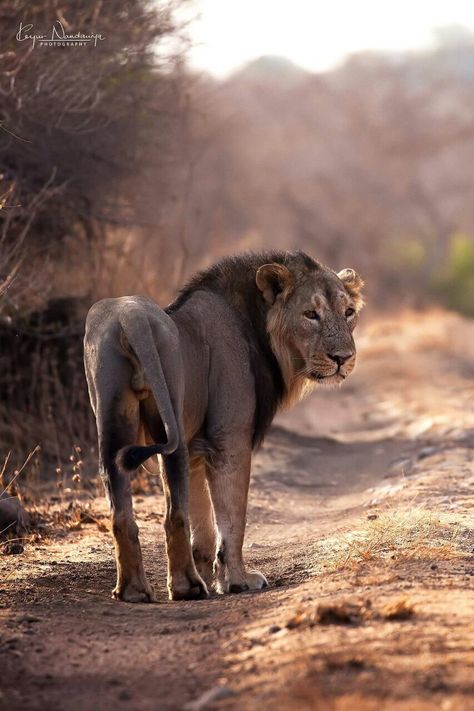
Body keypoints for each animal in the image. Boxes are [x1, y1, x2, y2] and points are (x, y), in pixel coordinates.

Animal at [83, 250, 364, 600]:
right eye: (310, 314)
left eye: (349, 312)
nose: (343, 358)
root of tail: (130, 318)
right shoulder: (228, 439)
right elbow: (232, 519)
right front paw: (238, 580)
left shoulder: (196, 446)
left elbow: (202, 523)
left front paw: (212, 576)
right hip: (171, 418)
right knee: (174, 515)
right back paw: (186, 587)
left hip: (113, 424)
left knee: (121, 513)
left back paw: (134, 590)